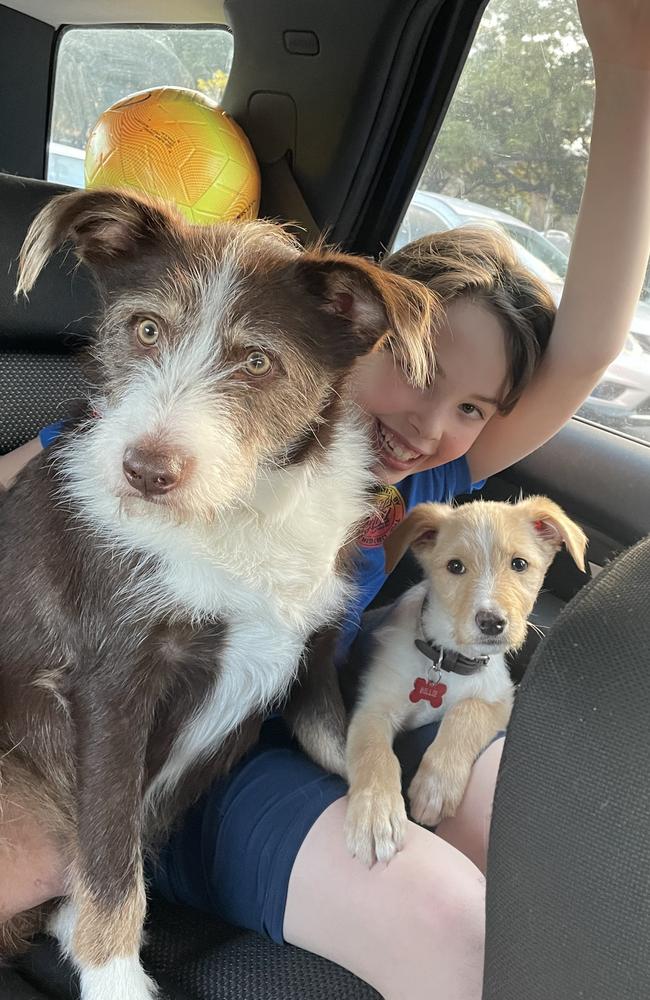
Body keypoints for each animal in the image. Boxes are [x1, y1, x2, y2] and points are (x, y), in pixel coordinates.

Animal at [0, 189, 438, 1000]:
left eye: (256, 360)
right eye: (145, 328)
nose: (145, 472)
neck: (237, 512)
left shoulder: (311, 653)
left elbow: (341, 738)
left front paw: (380, 807)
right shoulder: (111, 683)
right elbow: (111, 857)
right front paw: (114, 976)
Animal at [344, 496, 588, 864]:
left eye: (519, 564)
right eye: (455, 567)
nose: (491, 623)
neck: (447, 661)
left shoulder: (503, 698)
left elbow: (466, 712)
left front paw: (436, 785)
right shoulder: (372, 707)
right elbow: (374, 754)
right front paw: (375, 812)